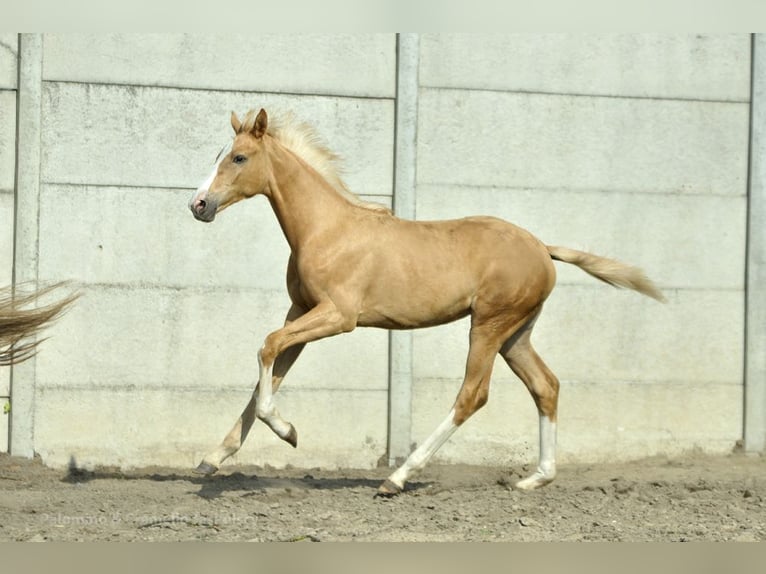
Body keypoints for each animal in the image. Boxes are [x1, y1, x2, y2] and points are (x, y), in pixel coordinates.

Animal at [188, 110, 664, 498]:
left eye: (239, 158)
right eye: (218, 154)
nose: (198, 205)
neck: (328, 229)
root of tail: (543, 249)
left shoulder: (338, 316)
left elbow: (268, 347)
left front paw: (289, 433)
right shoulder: (301, 313)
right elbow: (268, 372)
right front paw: (212, 459)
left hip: (488, 325)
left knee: (473, 394)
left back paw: (397, 478)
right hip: (517, 334)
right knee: (545, 385)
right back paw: (535, 478)